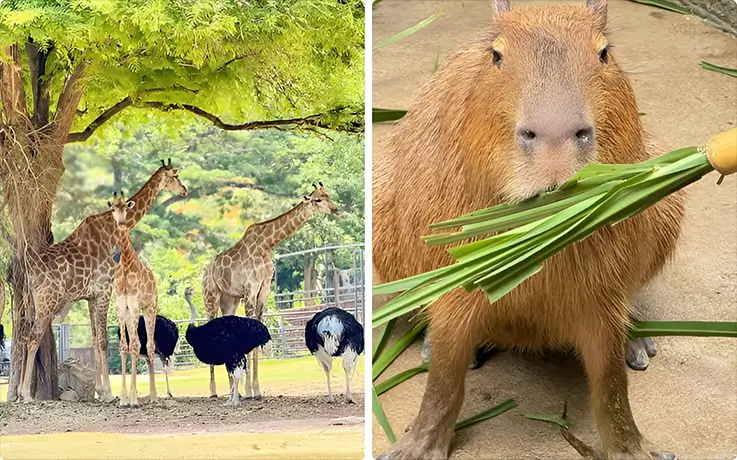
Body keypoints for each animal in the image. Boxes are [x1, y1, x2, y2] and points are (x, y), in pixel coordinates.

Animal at [18, 159, 186, 402]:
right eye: (175, 175)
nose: (184, 190)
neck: (110, 232)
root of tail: (28, 273)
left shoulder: (90, 296)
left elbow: (95, 339)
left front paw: (100, 389)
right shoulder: (104, 289)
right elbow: (104, 340)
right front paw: (107, 392)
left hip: (29, 303)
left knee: (22, 337)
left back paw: (20, 392)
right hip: (47, 301)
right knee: (33, 337)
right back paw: (26, 394)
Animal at [202, 182, 340, 400]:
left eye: (329, 196)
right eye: (318, 200)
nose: (336, 209)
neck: (266, 245)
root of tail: (205, 272)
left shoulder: (263, 292)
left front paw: (255, 389)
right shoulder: (250, 290)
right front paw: (249, 389)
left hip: (229, 301)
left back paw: (233, 389)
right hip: (211, 298)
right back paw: (214, 390)